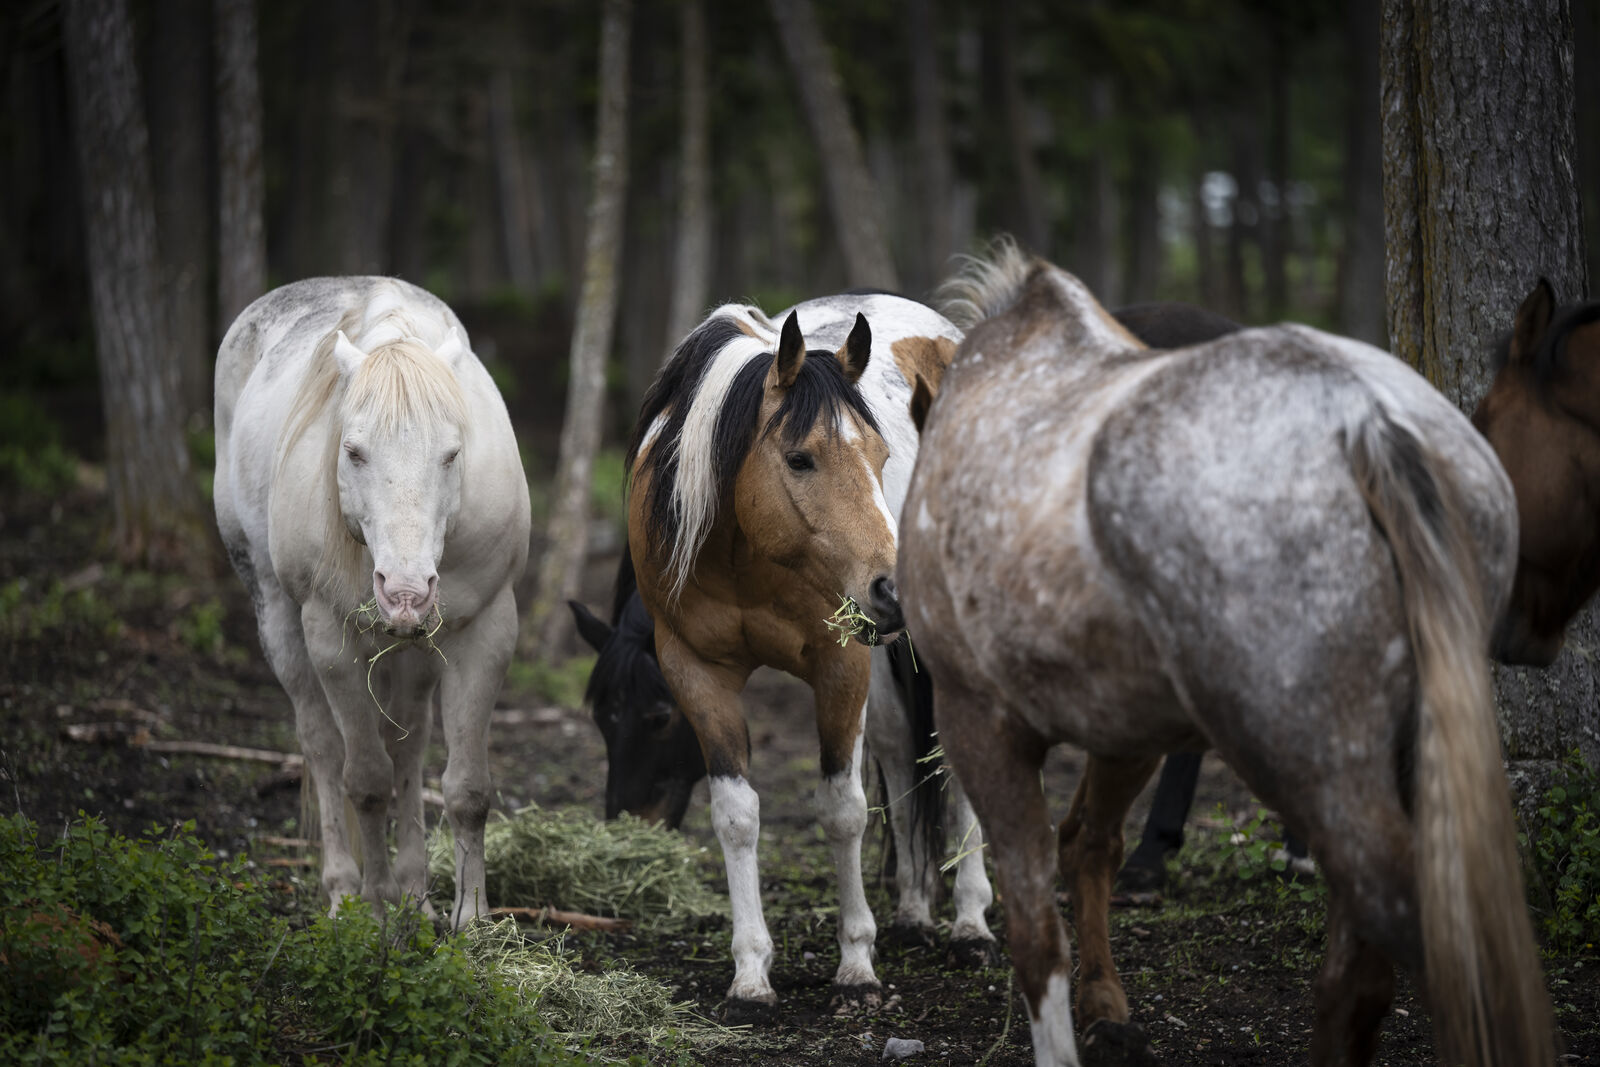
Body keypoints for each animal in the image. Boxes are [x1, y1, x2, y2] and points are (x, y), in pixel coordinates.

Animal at [214, 277, 530, 930]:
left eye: (452, 453)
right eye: (355, 452)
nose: (406, 593)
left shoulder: (487, 631)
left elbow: (466, 788)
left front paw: (471, 920)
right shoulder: (331, 639)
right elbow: (364, 782)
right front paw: (377, 914)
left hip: (415, 655)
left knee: (407, 746)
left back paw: (416, 893)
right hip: (278, 616)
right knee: (323, 747)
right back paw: (345, 892)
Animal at [624, 293, 994, 1011]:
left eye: (882, 454)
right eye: (799, 459)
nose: (892, 587)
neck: (740, 553)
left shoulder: (839, 662)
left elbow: (842, 811)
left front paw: (855, 962)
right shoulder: (695, 671)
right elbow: (736, 816)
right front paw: (750, 973)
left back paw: (970, 922)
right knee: (898, 752)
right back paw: (914, 913)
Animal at [898, 243, 1553, 1067]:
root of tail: (1366, 419)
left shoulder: (980, 721)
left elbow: (1035, 936)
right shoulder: (1128, 727)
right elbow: (1088, 848)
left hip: (1316, 766)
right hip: (1404, 755)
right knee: (1356, 982)